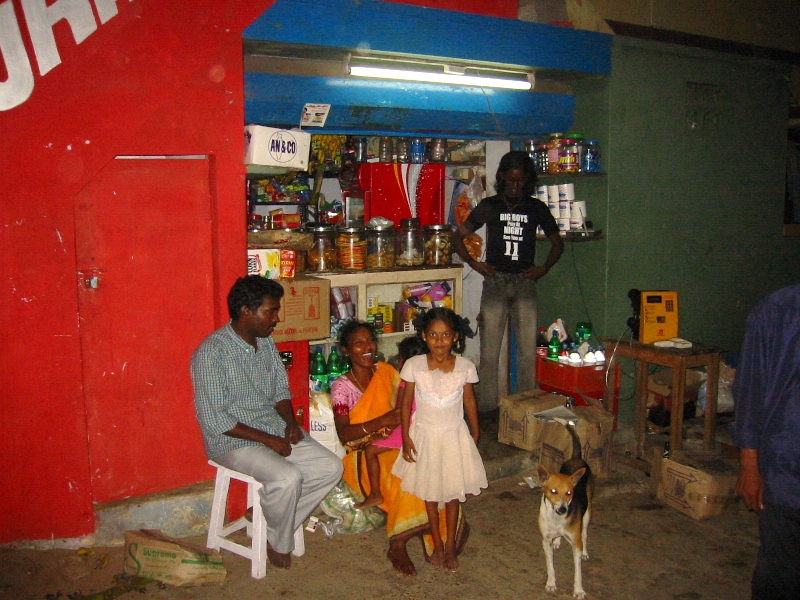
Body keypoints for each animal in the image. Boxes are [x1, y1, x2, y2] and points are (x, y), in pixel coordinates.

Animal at [536, 424, 592, 596]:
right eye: (553, 491)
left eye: (569, 493)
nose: (562, 509)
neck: (557, 519)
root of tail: (576, 457)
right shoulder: (545, 540)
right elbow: (550, 566)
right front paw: (551, 583)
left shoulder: (576, 543)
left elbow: (577, 572)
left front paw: (579, 590)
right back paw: (558, 540)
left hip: (587, 515)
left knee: (585, 534)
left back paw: (585, 552)